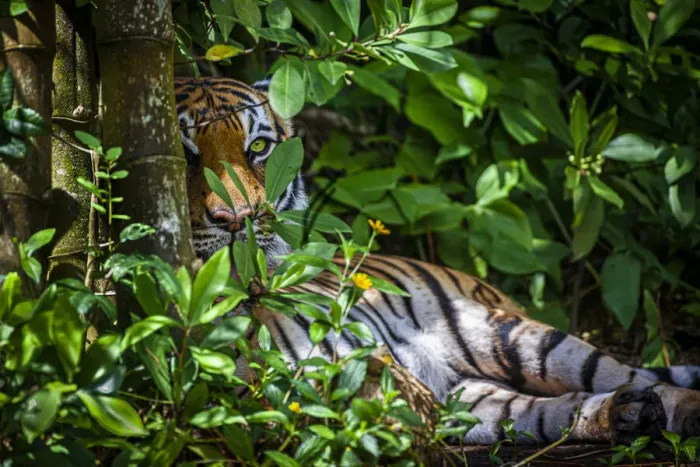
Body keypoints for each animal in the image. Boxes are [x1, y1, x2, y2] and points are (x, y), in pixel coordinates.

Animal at [174, 76, 700, 445]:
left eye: (259, 147)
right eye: (184, 155)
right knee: (549, 410)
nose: (237, 218)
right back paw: (625, 414)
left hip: (517, 336)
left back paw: (674, 409)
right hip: (470, 394)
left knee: (633, 377)